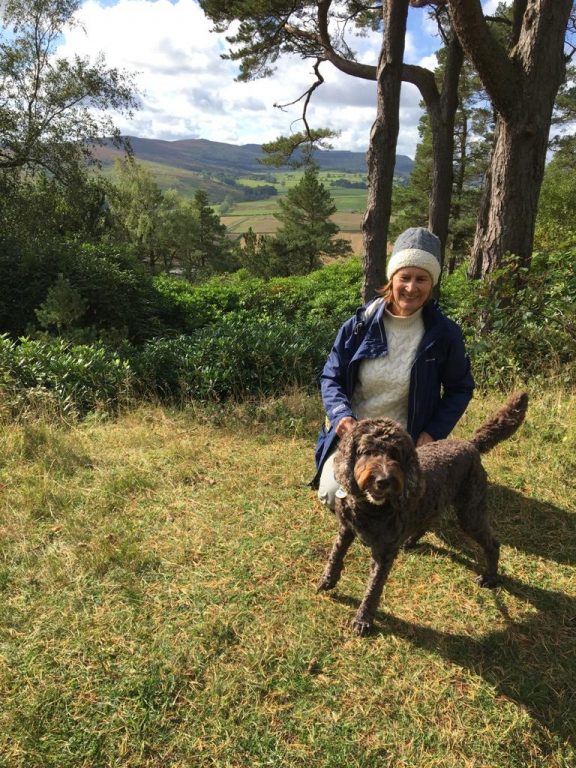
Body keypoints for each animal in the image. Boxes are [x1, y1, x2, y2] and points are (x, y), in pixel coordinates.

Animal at [318, 392, 528, 632]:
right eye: (367, 452)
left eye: (396, 454)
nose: (383, 480)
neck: (370, 508)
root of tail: (470, 445)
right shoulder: (346, 528)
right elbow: (335, 554)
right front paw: (328, 580)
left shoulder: (385, 552)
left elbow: (374, 587)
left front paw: (363, 619)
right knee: (428, 519)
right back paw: (410, 540)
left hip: (470, 512)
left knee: (492, 543)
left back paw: (490, 577)